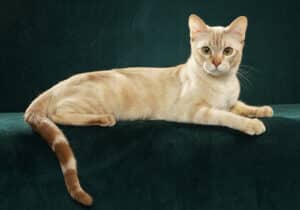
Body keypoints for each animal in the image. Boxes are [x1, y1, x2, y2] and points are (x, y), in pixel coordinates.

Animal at [24, 14, 274, 205]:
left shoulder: (231, 101)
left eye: (228, 51)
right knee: (58, 114)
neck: (223, 84)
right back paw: (104, 119)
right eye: (205, 50)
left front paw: (263, 110)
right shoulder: (194, 111)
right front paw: (252, 124)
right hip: (86, 103)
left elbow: (240, 106)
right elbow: (227, 116)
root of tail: (56, 85)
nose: (216, 63)